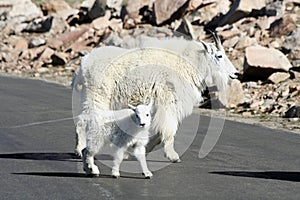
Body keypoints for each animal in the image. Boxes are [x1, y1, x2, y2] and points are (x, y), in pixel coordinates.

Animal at [72, 33, 237, 162]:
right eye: (219, 55)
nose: (235, 74)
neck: (188, 64)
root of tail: (84, 63)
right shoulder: (169, 101)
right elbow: (169, 130)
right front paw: (173, 156)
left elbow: (159, 133)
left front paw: (135, 152)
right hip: (97, 95)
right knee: (84, 120)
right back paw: (80, 149)